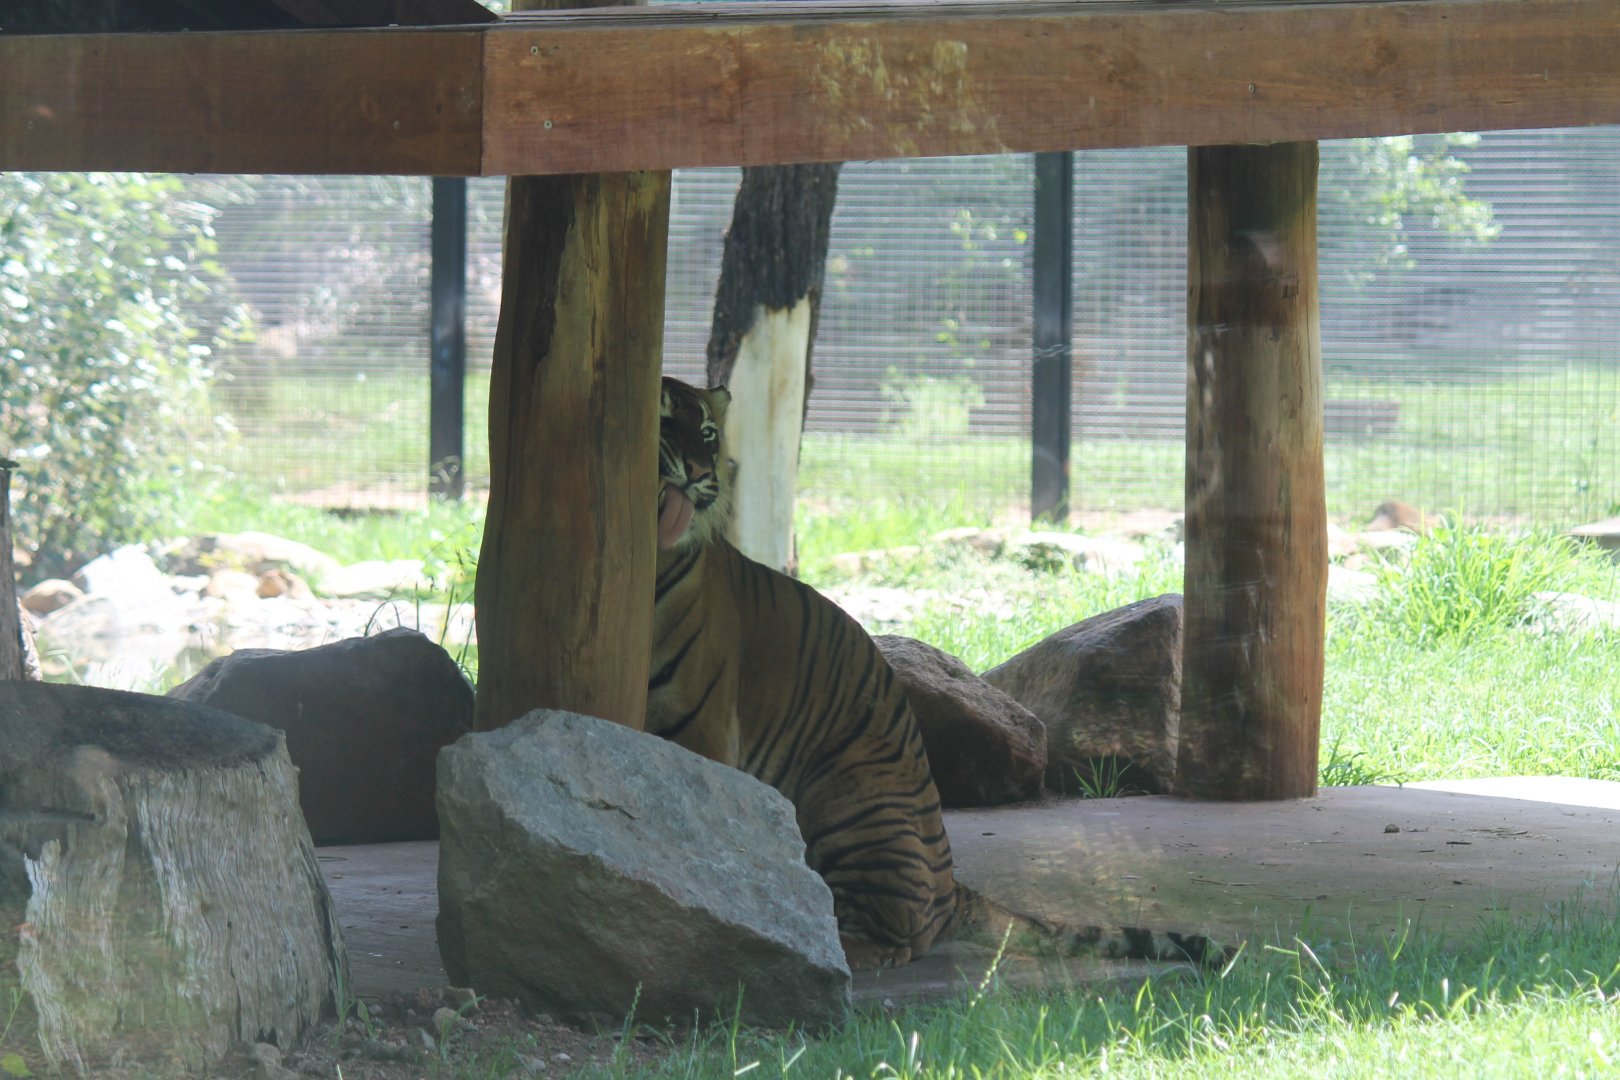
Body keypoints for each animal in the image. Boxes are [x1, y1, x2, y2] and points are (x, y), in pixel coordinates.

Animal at [649, 375, 1225, 971]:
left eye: (708, 433)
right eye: (665, 418)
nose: (698, 471)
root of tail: (953, 887)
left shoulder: (705, 729)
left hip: (848, 797)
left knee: (892, 937)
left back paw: (819, 951)